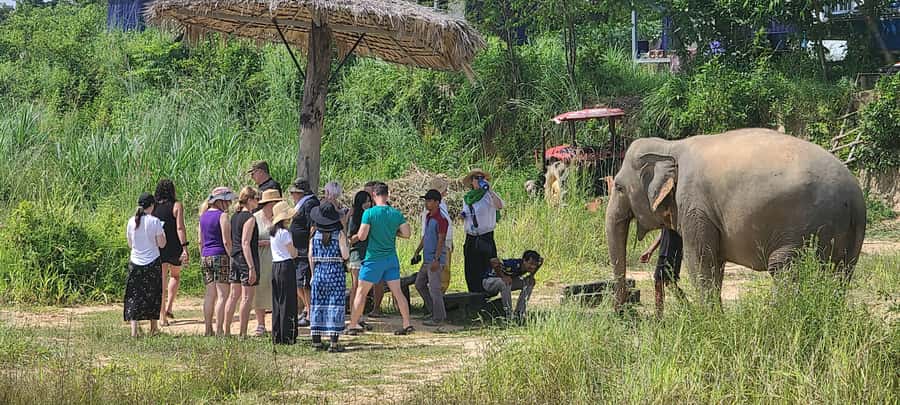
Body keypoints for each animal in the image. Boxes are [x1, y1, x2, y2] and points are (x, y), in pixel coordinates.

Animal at [605, 128, 866, 312]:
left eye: (618, 187)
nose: (621, 311)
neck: (670, 145)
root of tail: (854, 197)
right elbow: (714, 262)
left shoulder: (695, 205)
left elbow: (700, 259)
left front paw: (708, 320)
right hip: (849, 236)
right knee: (840, 274)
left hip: (806, 226)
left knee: (784, 268)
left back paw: (776, 317)